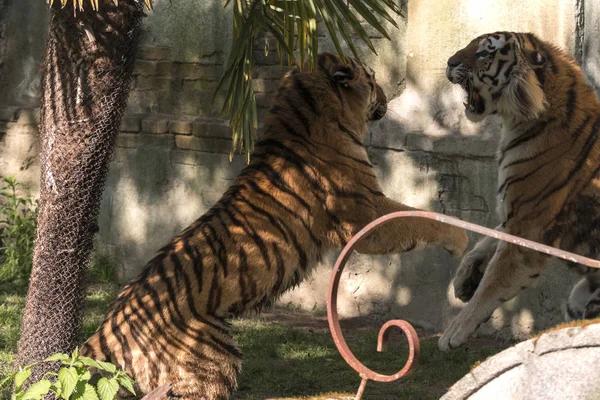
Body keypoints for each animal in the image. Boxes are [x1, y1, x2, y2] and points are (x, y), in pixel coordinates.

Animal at [79, 53, 468, 400]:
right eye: (371, 78)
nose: (387, 95)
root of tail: (108, 326)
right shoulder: (366, 213)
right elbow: (415, 217)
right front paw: (460, 238)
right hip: (212, 360)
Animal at [438, 30, 600, 350]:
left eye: (484, 53)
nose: (449, 62)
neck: (519, 121)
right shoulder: (513, 212)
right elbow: (485, 243)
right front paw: (463, 281)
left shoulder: (528, 228)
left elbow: (492, 283)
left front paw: (454, 332)